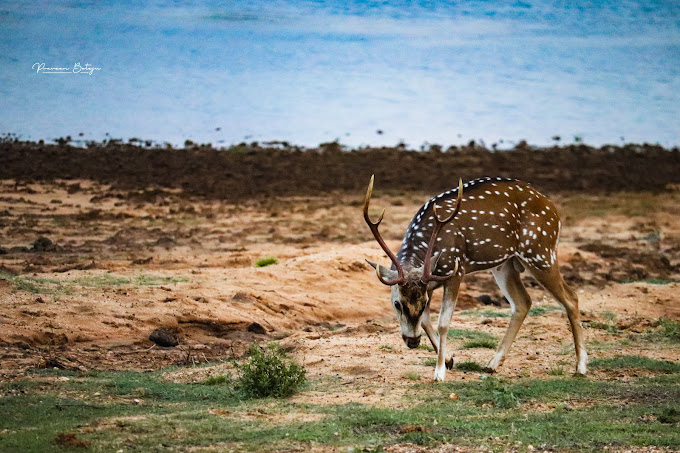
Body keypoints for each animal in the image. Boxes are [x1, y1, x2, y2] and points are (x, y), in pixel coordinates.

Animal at [363, 175, 587, 382]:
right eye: (397, 303)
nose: (413, 342)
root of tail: (552, 208)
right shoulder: (430, 282)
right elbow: (426, 319)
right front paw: (449, 359)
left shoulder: (456, 270)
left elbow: (443, 322)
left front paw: (439, 372)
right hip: (505, 264)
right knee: (523, 302)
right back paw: (492, 364)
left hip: (540, 252)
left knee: (571, 297)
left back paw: (581, 367)